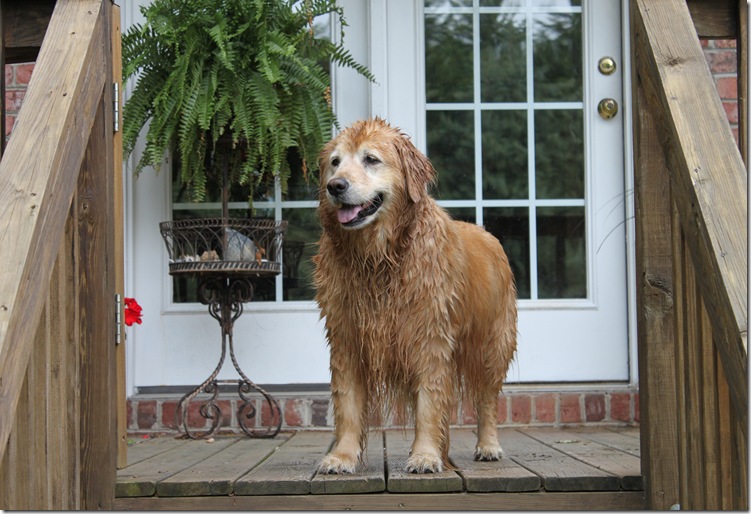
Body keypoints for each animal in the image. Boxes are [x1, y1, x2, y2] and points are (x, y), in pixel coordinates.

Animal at [312, 116, 516, 472]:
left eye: (371, 159)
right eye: (334, 162)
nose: (335, 186)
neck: (378, 259)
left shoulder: (429, 338)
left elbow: (428, 404)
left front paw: (425, 455)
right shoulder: (346, 338)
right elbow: (347, 404)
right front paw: (342, 456)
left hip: (493, 343)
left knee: (488, 399)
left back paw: (488, 445)